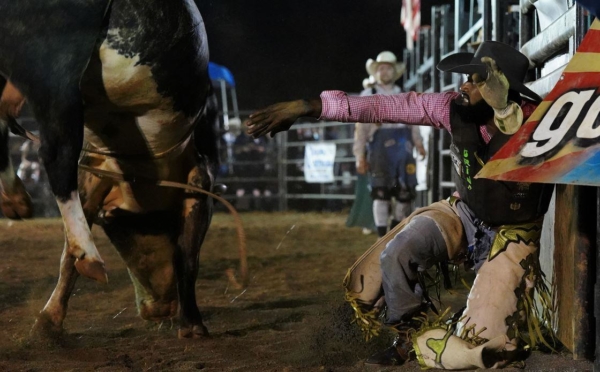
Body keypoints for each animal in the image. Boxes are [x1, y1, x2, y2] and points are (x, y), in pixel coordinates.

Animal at [0, 0, 223, 338]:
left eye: (114, 225)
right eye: (123, 229)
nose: (160, 309)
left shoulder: (97, 172)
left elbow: (66, 257)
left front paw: (49, 320)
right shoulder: (200, 175)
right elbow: (188, 255)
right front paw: (193, 324)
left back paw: (16, 200)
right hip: (56, 67)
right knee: (57, 153)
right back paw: (91, 257)